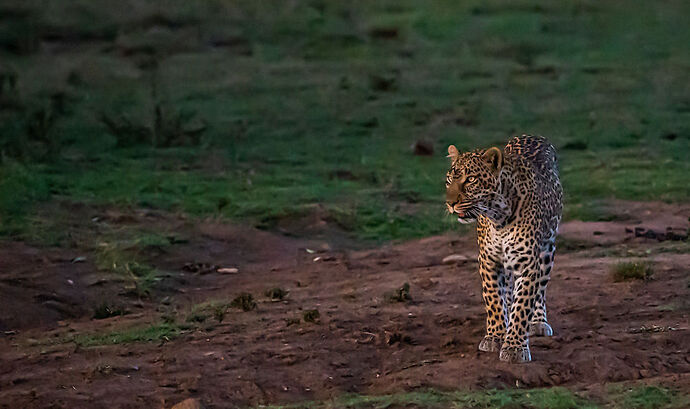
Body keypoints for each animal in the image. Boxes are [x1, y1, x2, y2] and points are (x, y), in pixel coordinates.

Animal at [444, 135, 560, 364]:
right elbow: (494, 300)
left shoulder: (528, 263)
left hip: (547, 250)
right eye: (449, 179)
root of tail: (531, 135)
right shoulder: (489, 260)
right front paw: (496, 336)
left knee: (540, 290)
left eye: (470, 180)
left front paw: (514, 347)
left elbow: (523, 305)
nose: (450, 203)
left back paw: (538, 322)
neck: (498, 217)